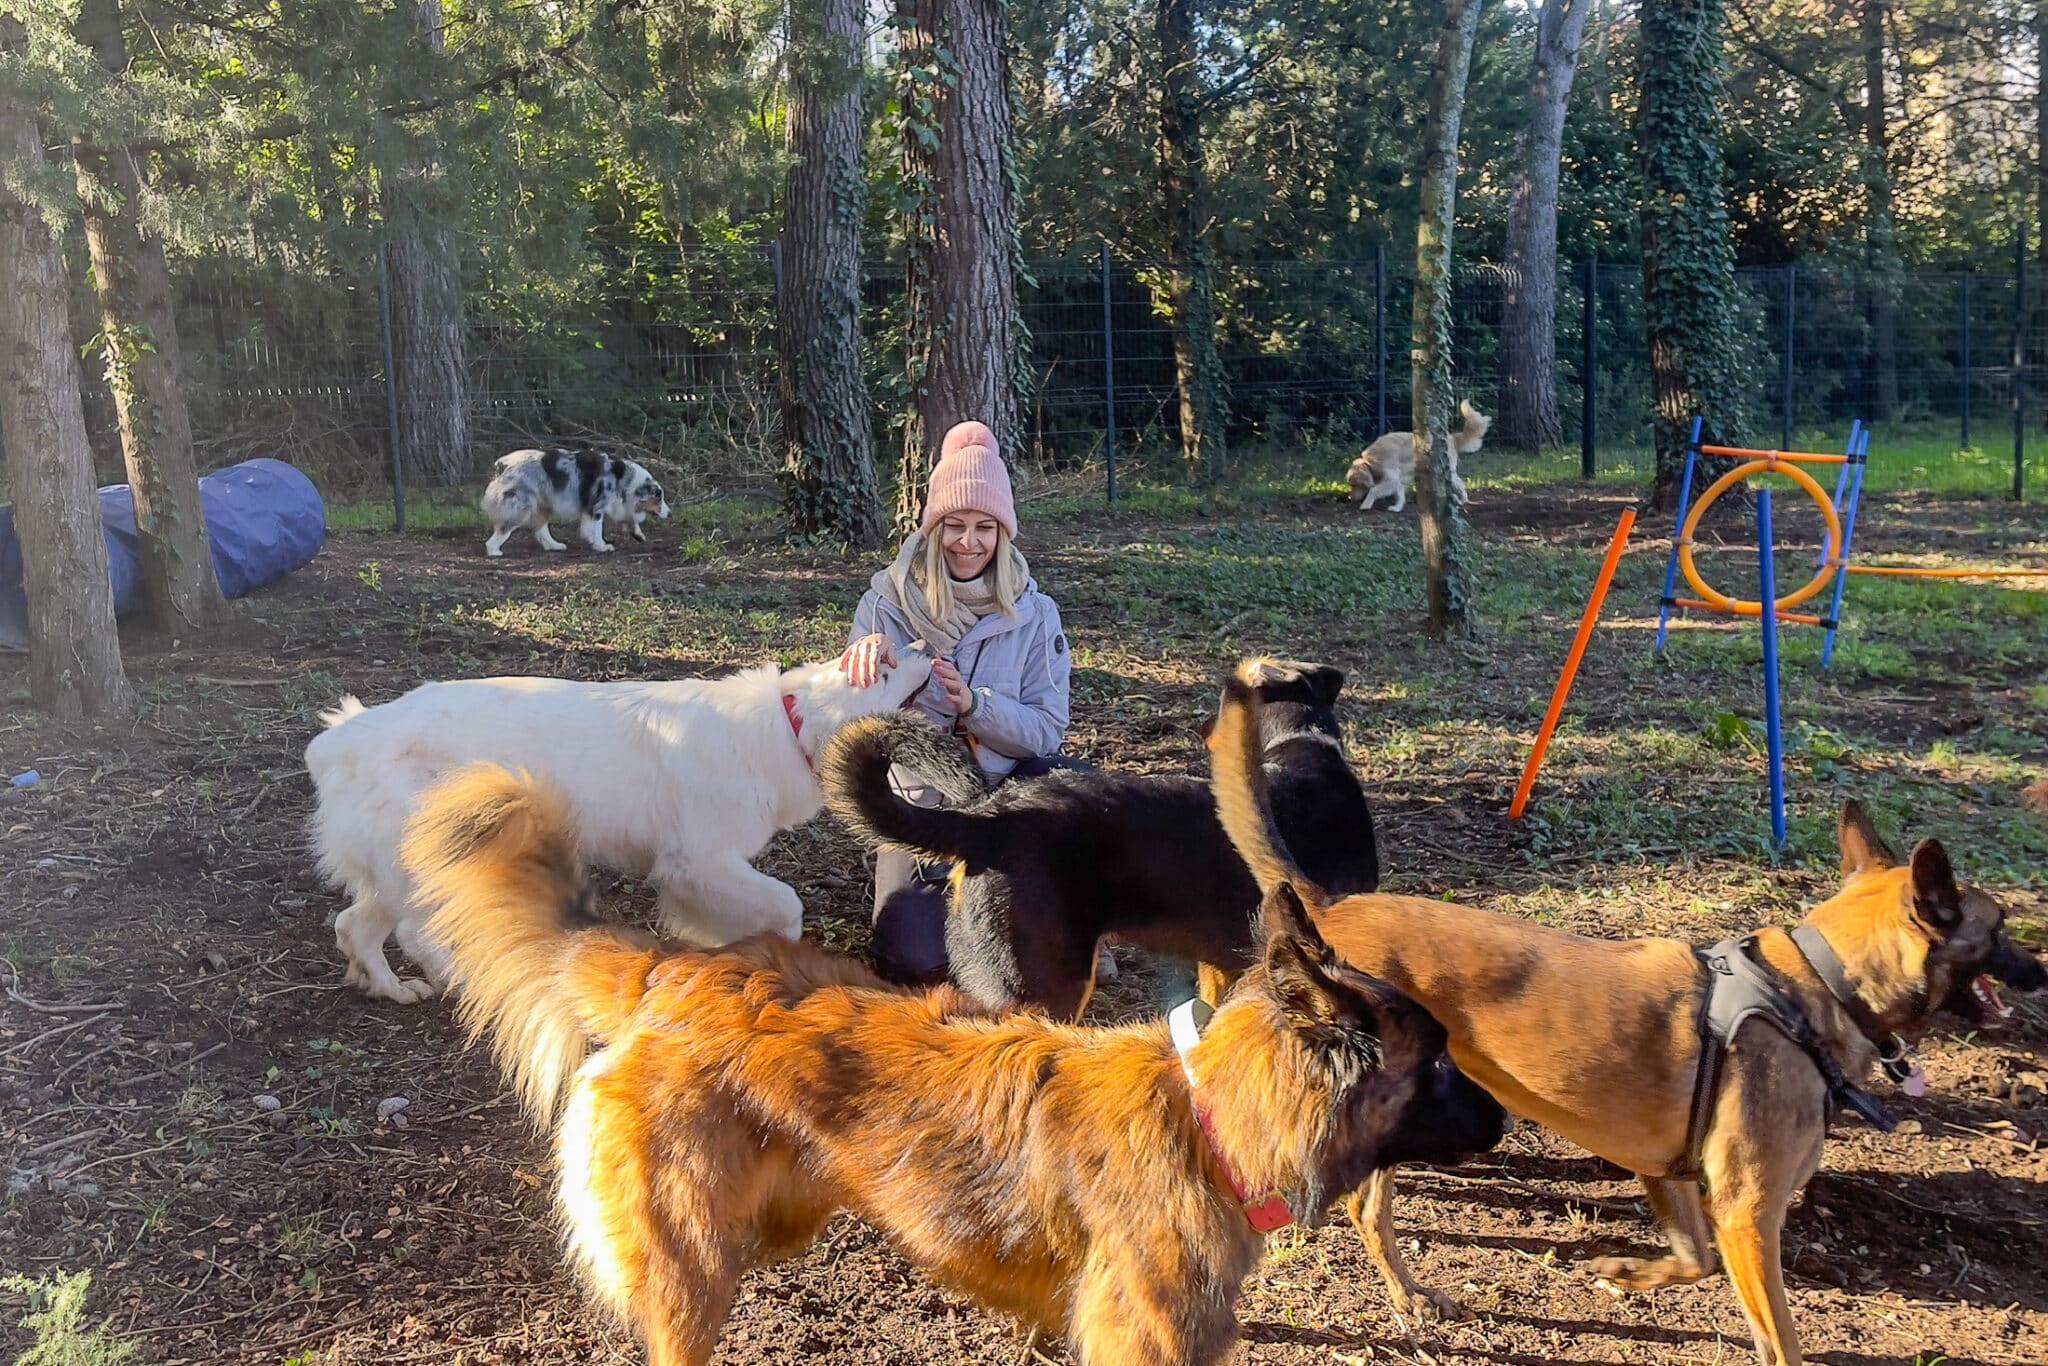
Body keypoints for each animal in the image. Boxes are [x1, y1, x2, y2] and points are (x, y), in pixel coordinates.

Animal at [299, 647, 933, 999]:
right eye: (887, 669)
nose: (927, 649)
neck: (790, 722)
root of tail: (341, 738)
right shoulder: (698, 864)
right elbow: (786, 905)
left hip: (397, 872)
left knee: (353, 926)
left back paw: (391, 990)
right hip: (430, 860)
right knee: (412, 933)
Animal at [481, 448, 667, 557]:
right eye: (660, 498)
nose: (669, 512)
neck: (626, 480)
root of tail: (503, 464)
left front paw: (638, 534)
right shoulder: (596, 506)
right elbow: (597, 529)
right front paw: (601, 546)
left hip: (545, 505)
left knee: (540, 530)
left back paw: (554, 545)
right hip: (521, 506)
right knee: (504, 529)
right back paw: (493, 550)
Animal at [1343, 405, 1490, 518]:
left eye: (1354, 484)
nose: (1350, 498)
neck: (1371, 462)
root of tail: (1451, 438)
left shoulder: (1391, 479)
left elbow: (1373, 490)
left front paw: (1365, 505)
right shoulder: (1398, 480)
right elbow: (1400, 495)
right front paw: (1397, 508)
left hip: (1444, 471)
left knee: (1459, 484)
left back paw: (1462, 500)